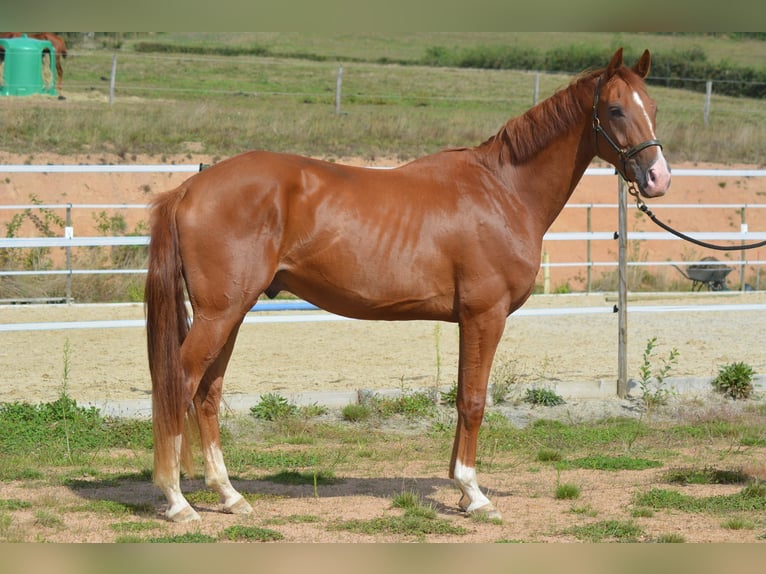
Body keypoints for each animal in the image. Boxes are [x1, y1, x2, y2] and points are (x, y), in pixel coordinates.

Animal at [146, 50, 672, 528]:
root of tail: (189, 189)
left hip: (230, 314)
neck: (503, 191)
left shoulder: (468, 320)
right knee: (180, 383)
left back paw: (229, 495)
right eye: (615, 109)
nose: (658, 178)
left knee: (207, 393)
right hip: (219, 314)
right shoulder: (485, 315)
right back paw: (177, 501)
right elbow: (475, 401)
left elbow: (462, 397)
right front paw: (475, 495)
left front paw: (461, 490)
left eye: (653, 105)